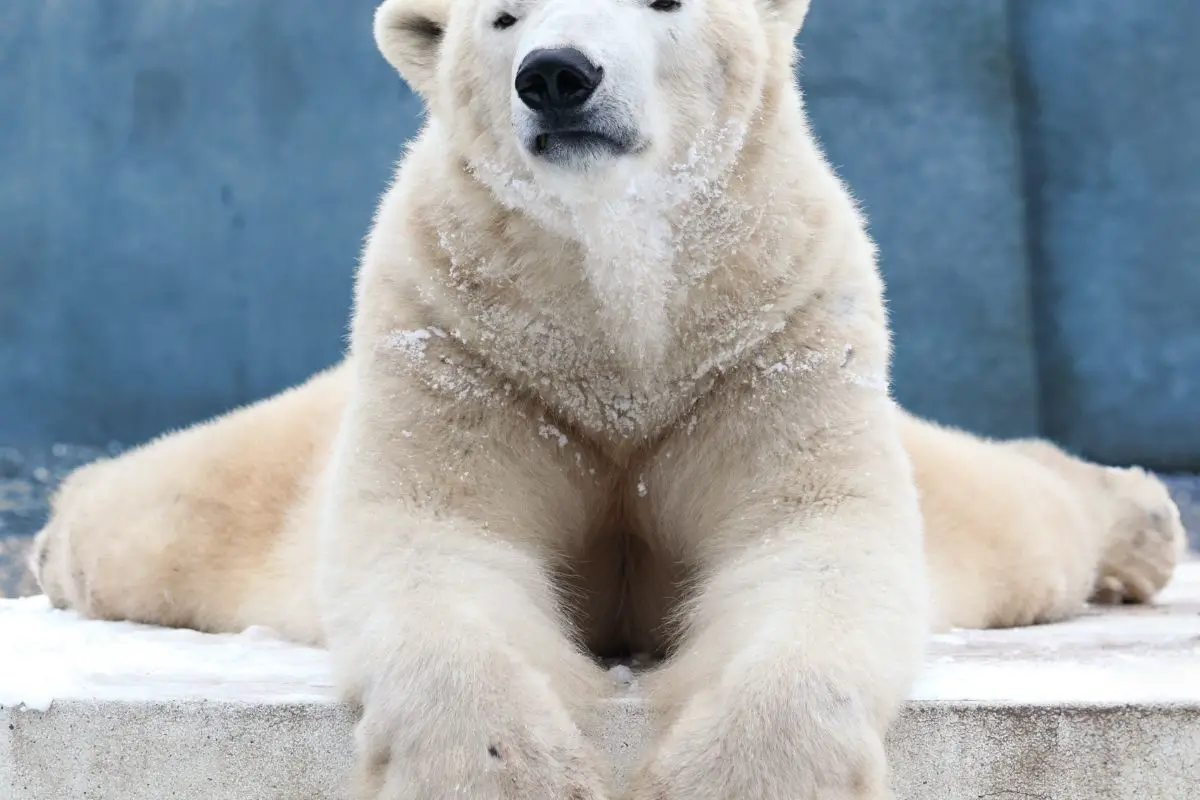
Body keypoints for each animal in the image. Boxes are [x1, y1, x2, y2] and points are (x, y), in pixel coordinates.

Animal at [30, 0, 1190, 796]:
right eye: (502, 16)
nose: (557, 74)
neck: (625, 326)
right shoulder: (459, 343)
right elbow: (437, 542)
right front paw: (510, 769)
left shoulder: (772, 339)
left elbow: (810, 541)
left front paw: (733, 778)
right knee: (156, 510)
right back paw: (46, 536)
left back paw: (1142, 521)